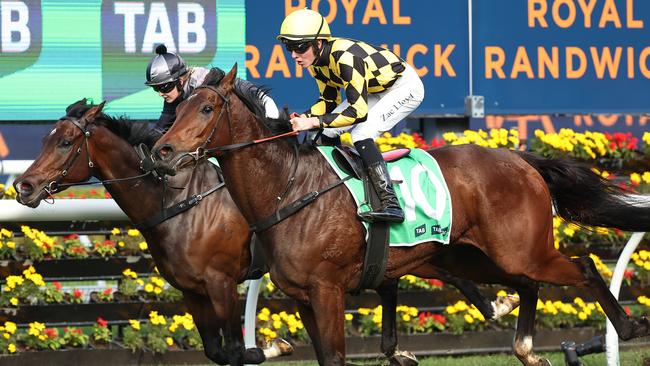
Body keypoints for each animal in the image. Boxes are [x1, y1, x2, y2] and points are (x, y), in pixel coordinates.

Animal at [12, 100, 512, 366]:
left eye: (64, 141)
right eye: (44, 138)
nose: (24, 186)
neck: (176, 201)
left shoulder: (220, 282)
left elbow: (236, 349)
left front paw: (271, 345)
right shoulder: (192, 291)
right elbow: (217, 351)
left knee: (437, 274)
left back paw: (495, 306)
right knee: (404, 276)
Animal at [149, 64, 648, 364]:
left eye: (206, 108)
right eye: (174, 109)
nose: (162, 151)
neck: (286, 188)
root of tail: (521, 159)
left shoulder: (327, 290)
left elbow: (335, 356)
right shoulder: (303, 297)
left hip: (520, 250)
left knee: (582, 267)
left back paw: (627, 325)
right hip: (473, 255)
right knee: (527, 284)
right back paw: (526, 348)